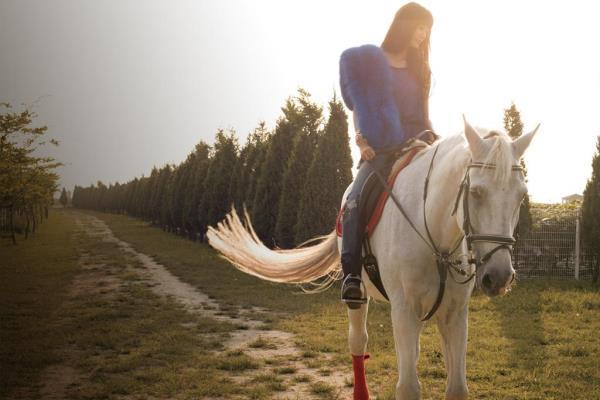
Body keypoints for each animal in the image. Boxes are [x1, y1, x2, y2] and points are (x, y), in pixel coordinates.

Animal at [206, 117, 540, 398]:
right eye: (477, 192)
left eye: (521, 195)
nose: (499, 277)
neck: (434, 234)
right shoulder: (404, 310)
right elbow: (408, 388)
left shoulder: (455, 315)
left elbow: (457, 388)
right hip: (359, 296)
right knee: (358, 342)